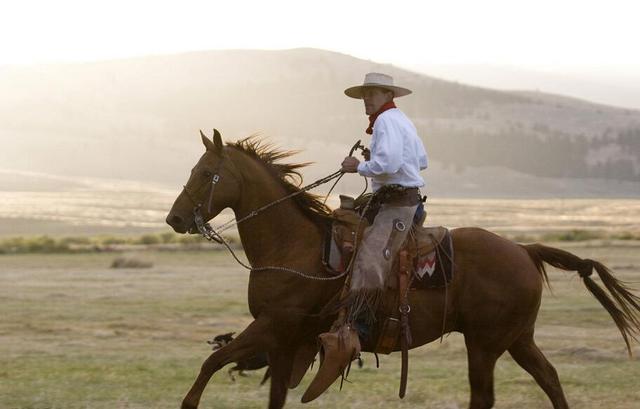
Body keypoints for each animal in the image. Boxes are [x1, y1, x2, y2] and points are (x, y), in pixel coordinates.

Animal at [166, 130, 640, 408]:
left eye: (206, 172)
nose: (174, 219)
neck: (292, 246)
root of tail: (524, 249)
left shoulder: (271, 325)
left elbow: (211, 363)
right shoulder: (285, 341)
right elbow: (273, 393)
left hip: (485, 343)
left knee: (485, 396)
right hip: (517, 338)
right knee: (550, 378)